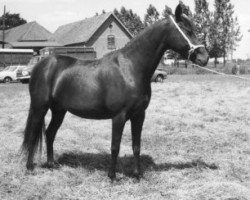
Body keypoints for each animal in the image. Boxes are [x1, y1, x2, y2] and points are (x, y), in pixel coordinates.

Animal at [22, 3, 209, 180]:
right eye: (187, 30)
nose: (204, 57)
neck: (130, 68)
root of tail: (41, 64)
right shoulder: (119, 116)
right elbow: (115, 146)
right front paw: (112, 176)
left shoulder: (139, 115)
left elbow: (136, 146)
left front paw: (137, 175)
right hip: (40, 107)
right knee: (33, 135)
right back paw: (30, 167)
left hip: (59, 110)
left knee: (50, 133)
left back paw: (51, 164)